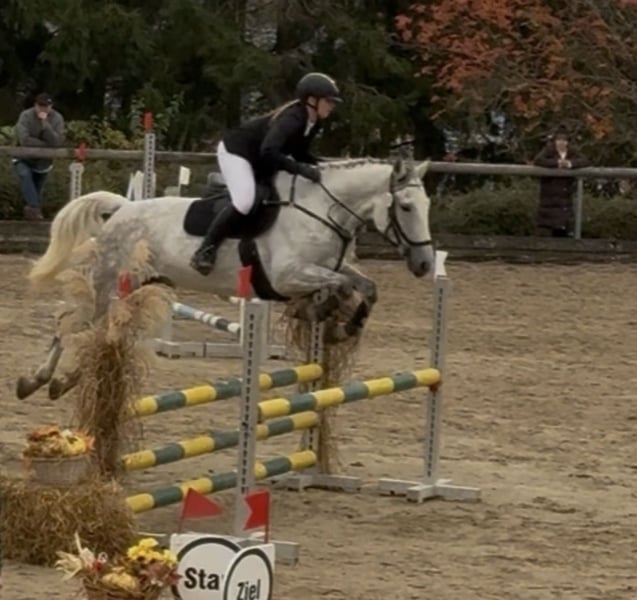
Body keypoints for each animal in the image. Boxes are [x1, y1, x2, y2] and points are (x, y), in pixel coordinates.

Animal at [17, 156, 435, 400]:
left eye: (427, 204)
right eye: (406, 206)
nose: (425, 264)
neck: (320, 210)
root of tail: (121, 209)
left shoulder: (330, 268)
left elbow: (366, 287)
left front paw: (341, 325)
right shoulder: (287, 276)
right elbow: (341, 286)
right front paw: (319, 314)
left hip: (133, 286)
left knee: (99, 330)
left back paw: (59, 380)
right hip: (106, 285)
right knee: (72, 324)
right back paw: (39, 381)